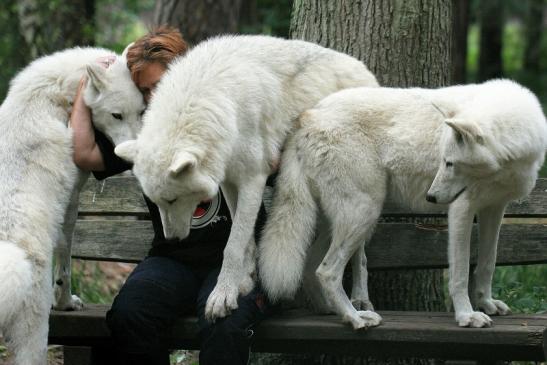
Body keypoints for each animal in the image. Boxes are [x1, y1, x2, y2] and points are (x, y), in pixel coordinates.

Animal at [0, 47, 143, 362]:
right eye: (116, 115)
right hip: (34, 340)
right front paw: (65, 303)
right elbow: (65, 265)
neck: (55, 94)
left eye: (141, 112)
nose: (131, 158)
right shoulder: (71, 203)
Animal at [114, 34, 382, 318]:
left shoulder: (254, 178)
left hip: (357, 199)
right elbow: (245, 240)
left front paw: (222, 296)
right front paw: (244, 280)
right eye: (156, 203)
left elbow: (233, 244)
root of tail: (366, 71)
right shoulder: (230, 182)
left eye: (173, 200)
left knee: (359, 255)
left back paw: (360, 300)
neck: (218, 99)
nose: (173, 239)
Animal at [260, 79, 547, 330]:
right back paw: (356, 318)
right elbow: (460, 272)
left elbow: (488, 262)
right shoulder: (461, 210)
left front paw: (486, 303)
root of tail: (307, 115)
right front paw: (467, 316)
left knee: (311, 266)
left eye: (449, 163)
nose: (431, 197)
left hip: (340, 221)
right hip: (364, 214)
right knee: (327, 271)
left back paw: (331, 311)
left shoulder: (494, 209)